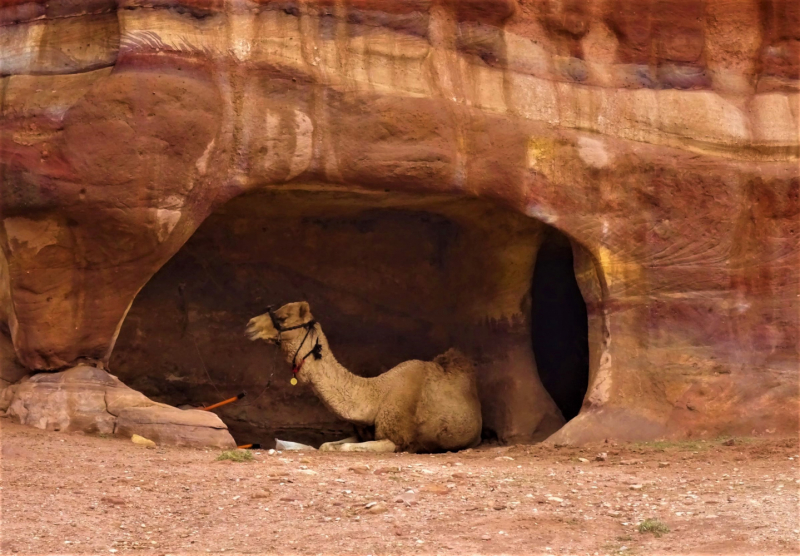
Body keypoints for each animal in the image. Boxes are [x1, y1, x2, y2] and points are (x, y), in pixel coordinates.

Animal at [244, 302, 482, 454]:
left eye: (283, 318)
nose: (249, 325)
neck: (375, 396)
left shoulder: (399, 441)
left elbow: (345, 447)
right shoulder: (363, 434)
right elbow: (326, 445)